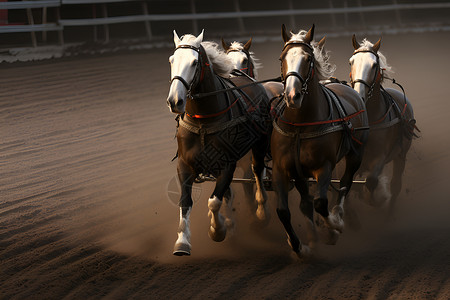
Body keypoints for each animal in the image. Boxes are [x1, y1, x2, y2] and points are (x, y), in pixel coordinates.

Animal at [166, 29, 268, 255]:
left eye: (195, 62)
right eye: (171, 60)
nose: (175, 101)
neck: (203, 121)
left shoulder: (227, 164)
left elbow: (214, 201)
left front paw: (218, 229)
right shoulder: (185, 164)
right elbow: (185, 201)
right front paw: (182, 241)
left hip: (260, 144)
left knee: (257, 172)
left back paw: (260, 210)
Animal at [270, 24, 370, 256]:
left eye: (308, 59)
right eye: (282, 58)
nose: (292, 95)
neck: (299, 125)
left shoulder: (323, 166)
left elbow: (321, 203)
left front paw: (334, 228)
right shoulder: (282, 169)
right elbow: (283, 211)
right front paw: (300, 246)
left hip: (355, 154)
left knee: (345, 184)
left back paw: (338, 216)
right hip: (299, 173)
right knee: (306, 202)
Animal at [348, 35, 418, 216]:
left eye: (374, 65)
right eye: (351, 62)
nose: (359, 94)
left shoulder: (380, 156)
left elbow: (372, 181)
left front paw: (375, 200)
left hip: (401, 155)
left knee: (395, 186)